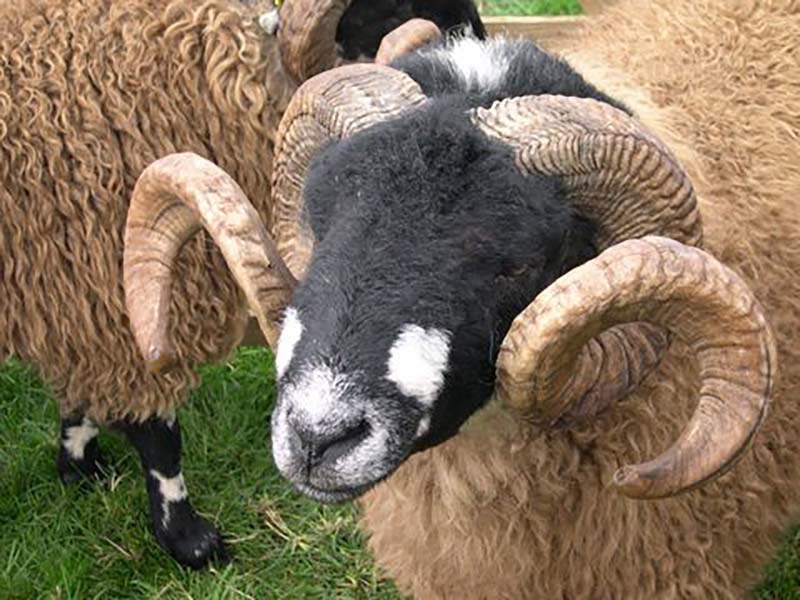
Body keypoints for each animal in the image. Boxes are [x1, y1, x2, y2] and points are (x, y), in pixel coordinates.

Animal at [0, 0, 482, 568]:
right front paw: (188, 539)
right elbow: (159, 435)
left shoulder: (78, 296)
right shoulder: (110, 288)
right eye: (392, 10)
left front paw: (78, 466)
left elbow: (78, 395)